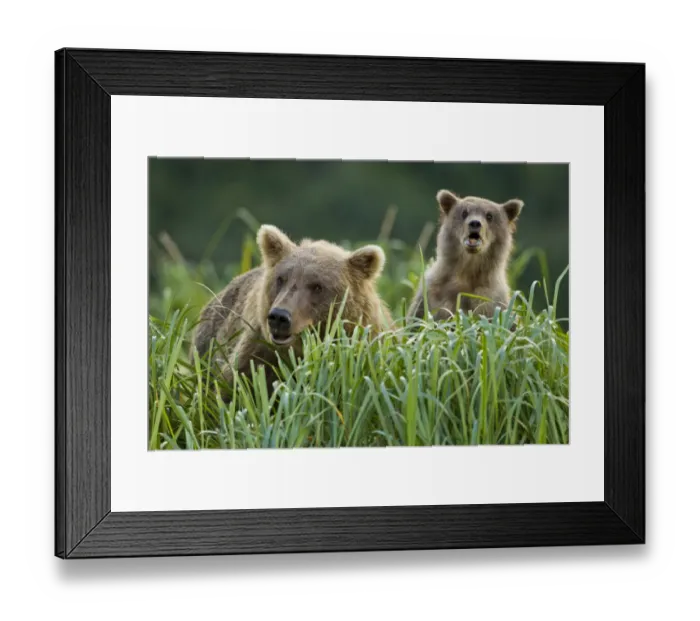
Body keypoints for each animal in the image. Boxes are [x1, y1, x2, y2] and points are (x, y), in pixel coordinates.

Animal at [408, 190, 524, 321]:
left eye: (489, 216)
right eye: (464, 212)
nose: (475, 223)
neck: (467, 268)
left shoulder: (491, 301)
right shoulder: (430, 294)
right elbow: (417, 316)